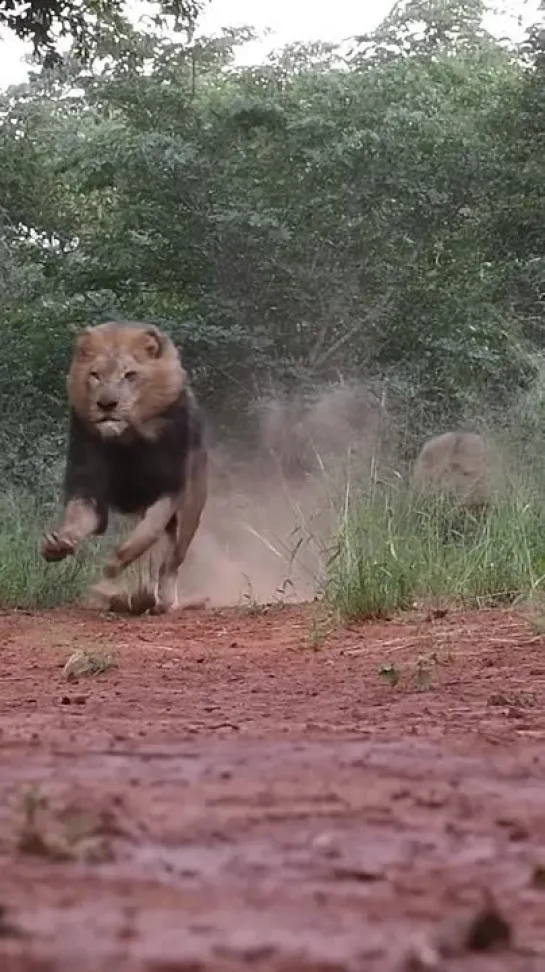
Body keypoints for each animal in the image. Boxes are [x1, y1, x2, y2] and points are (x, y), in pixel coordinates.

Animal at [40, 324, 208, 616]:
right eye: (95, 375)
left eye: (130, 375)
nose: (107, 404)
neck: (128, 441)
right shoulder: (89, 485)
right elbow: (79, 518)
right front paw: (58, 543)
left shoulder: (169, 489)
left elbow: (143, 538)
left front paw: (110, 572)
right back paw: (136, 598)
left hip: (191, 511)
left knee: (171, 561)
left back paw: (158, 601)